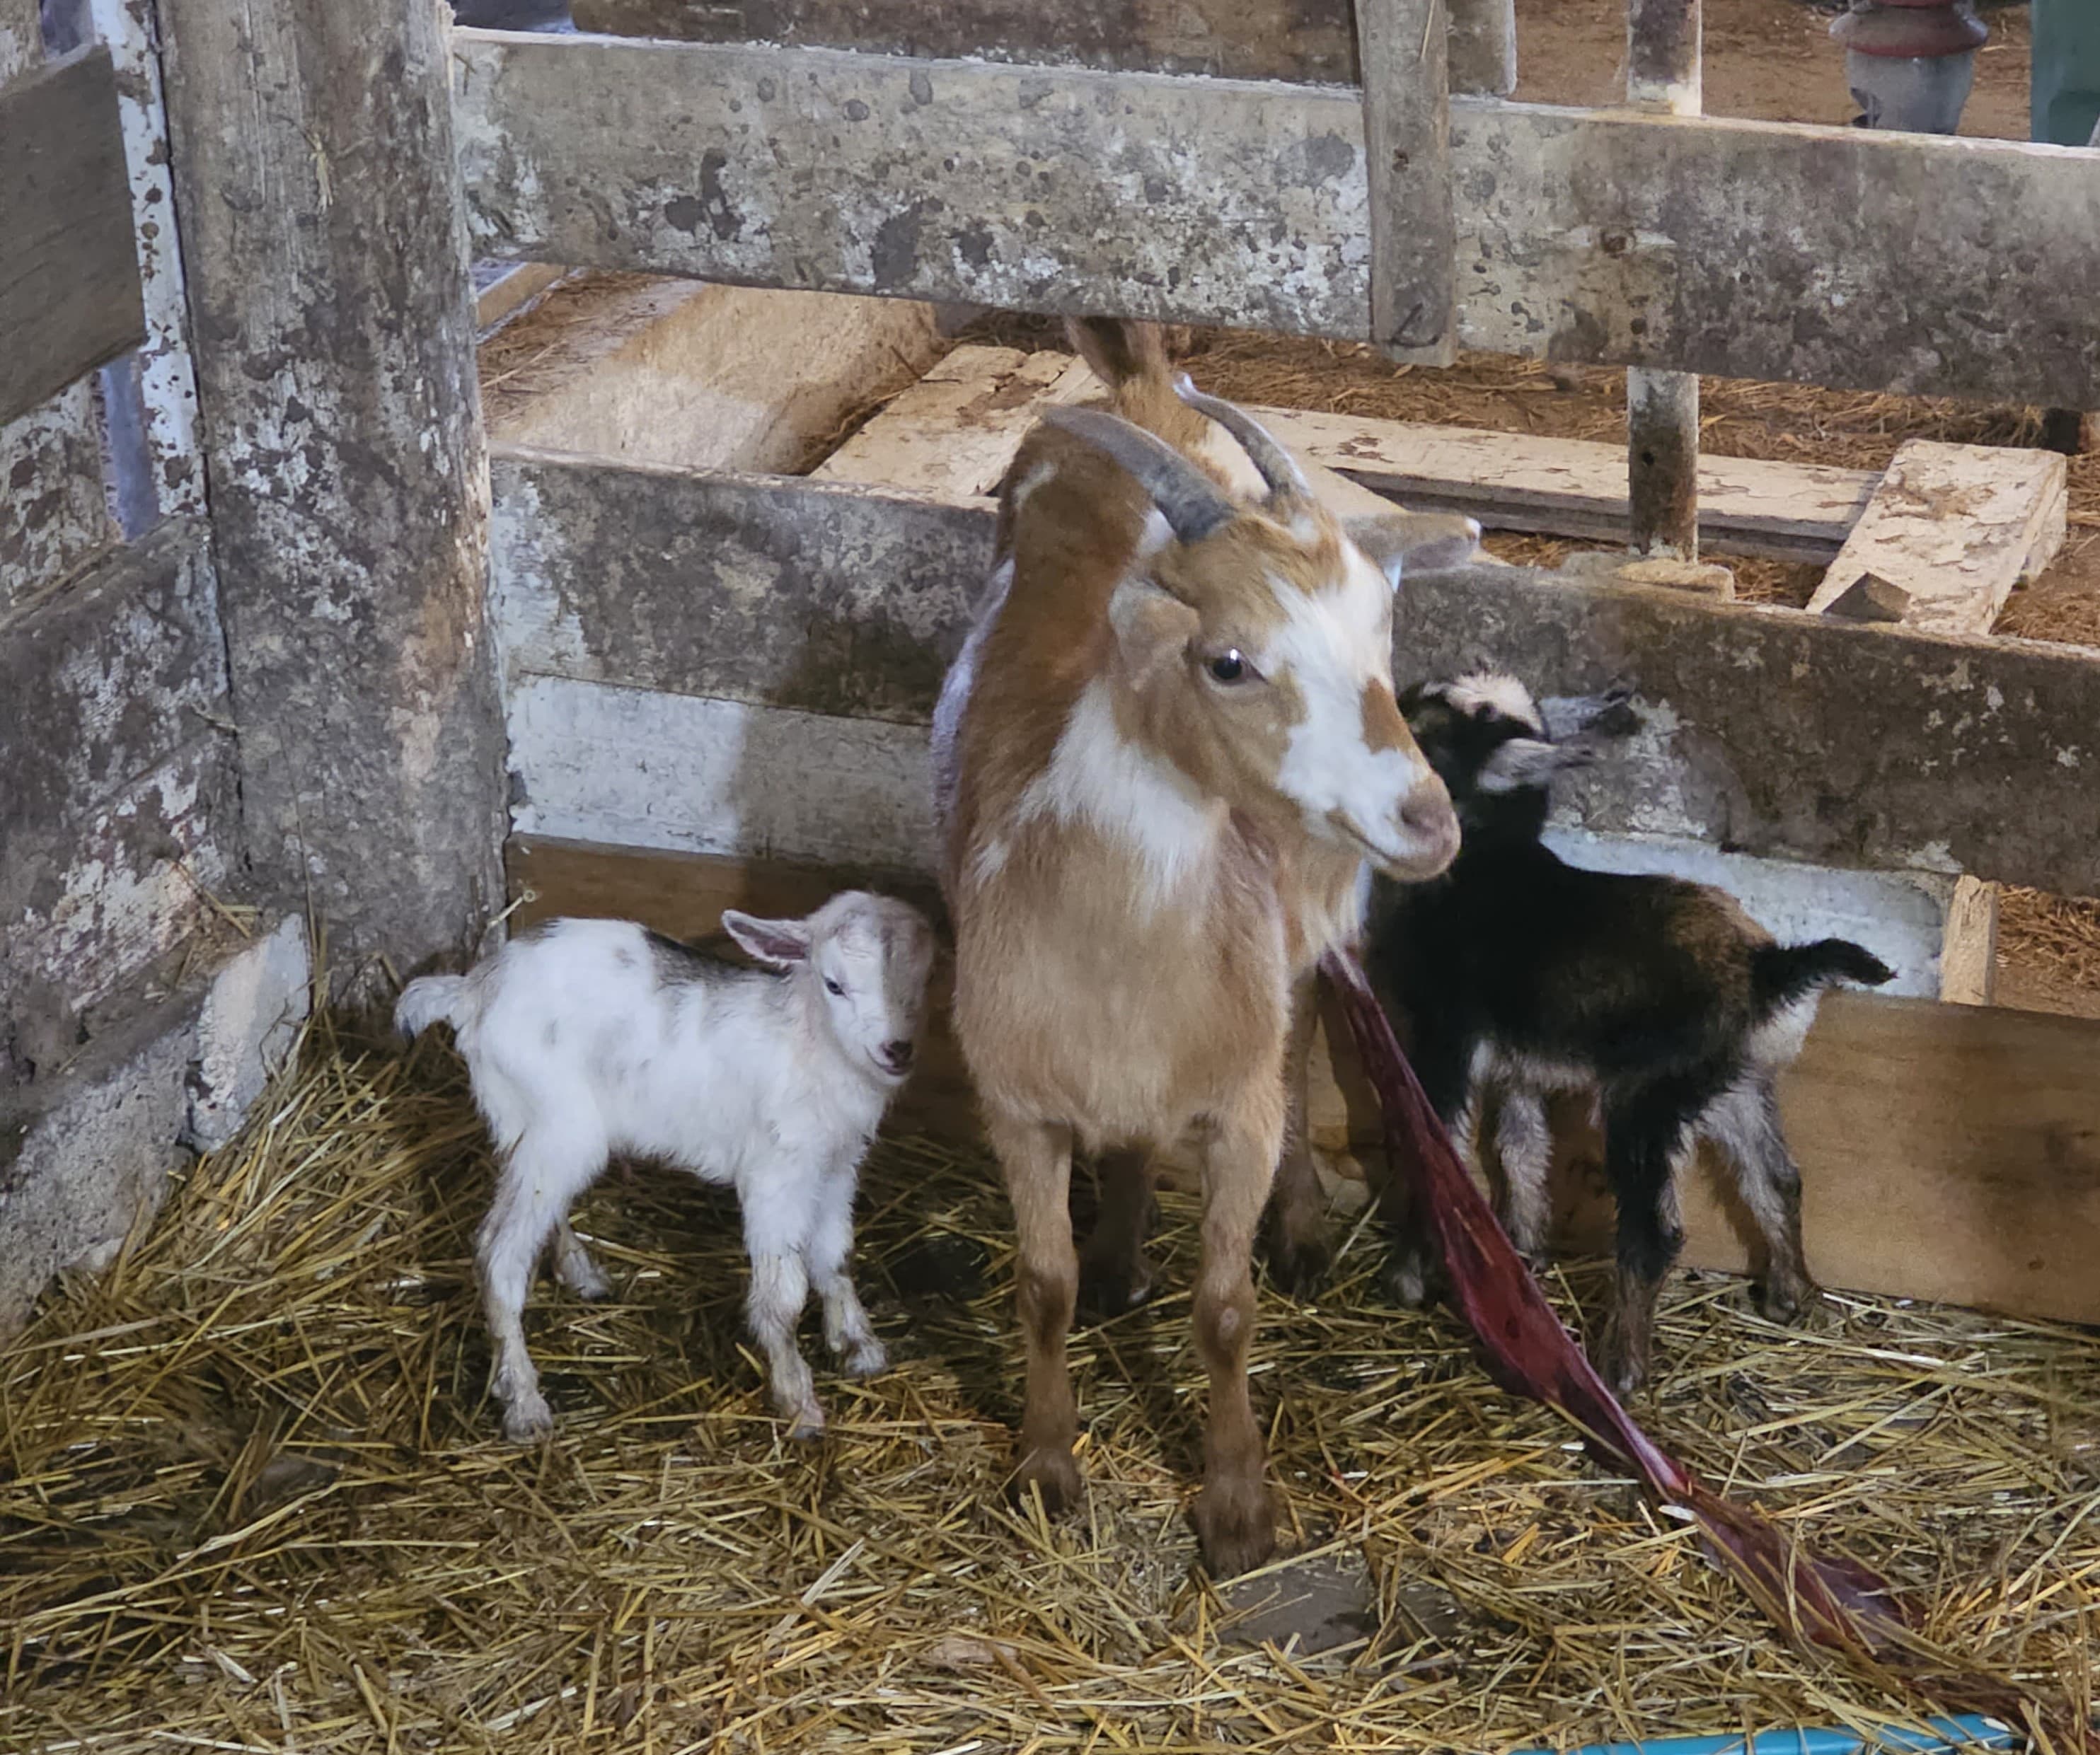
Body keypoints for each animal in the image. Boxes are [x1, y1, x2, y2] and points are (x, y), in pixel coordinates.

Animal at [394, 894, 937, 1441]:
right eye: (834, 984)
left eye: (923, 978)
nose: (897, 1050)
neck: (810, 1042)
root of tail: (471, 992)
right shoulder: (776, 1173)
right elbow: (783, 1295)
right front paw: (798, 1402)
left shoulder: (838, 1164)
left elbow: (836, 1257)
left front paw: (859, 1346)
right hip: (555, 1121)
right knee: (498, 1253)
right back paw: (524, 1403)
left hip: (528, 1124)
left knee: (538, 1205)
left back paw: (580, 1272)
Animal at [934, 317, 1470, 1575]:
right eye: (1228, 661)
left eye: (1381, 633)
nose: (1429, 818)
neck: (1116, 948)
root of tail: (1142, 388)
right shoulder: (1015, 1100)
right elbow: (1040, 1283)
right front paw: (1047, 1465)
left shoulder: (1238, 1099)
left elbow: (1225, 1310)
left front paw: (1236, 1506)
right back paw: (1123, 1253)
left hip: (1317, 903)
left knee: (1311, 1014)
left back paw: (1304, 1220)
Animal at [1344, 672, 1894, 1393]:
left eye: (1427, 733)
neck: (1484, 862)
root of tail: (1768, 969)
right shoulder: (1520, 1062)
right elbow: (1521, 1149)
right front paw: (1525, 1251)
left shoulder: (1447, 1036)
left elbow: (1439, 1152)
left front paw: (1408, 1280)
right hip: (1736, 1082)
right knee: (1777, 1178)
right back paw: (1791, 1295)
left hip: (1647, 1098)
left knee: (1654, 1230)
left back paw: (1622, 1368)